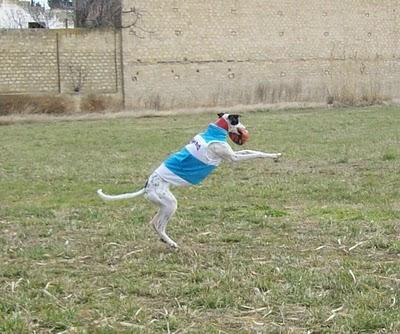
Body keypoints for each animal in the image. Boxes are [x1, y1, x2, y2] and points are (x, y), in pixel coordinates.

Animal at [97, 114, 282, 248]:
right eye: (238, 121)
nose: (245, 129)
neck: (216, 129)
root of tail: (147, 186)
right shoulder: (234, 158)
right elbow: (253, 154)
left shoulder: (235, 154)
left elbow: (254, 151)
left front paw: (275, 155)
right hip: (170, 204)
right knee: (159, 225)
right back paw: (172, 243)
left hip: (163, 205)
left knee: (153, 223)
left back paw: (166, 241)